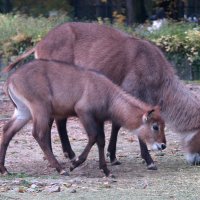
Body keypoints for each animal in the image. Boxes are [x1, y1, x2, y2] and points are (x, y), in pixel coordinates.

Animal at [0, 59, 166, 177]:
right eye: (155, 126)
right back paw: (61, 169)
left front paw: (106, 171)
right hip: (40, 109)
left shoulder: (99, 119)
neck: (109, 95)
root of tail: (11, 79)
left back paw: (4, 169)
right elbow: (93, 137)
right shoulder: (83, 112)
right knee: (38, 134)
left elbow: (101, 140)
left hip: (23, 112)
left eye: (163, 125)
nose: (163, 145)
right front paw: (75, 163)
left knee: (7, 130)